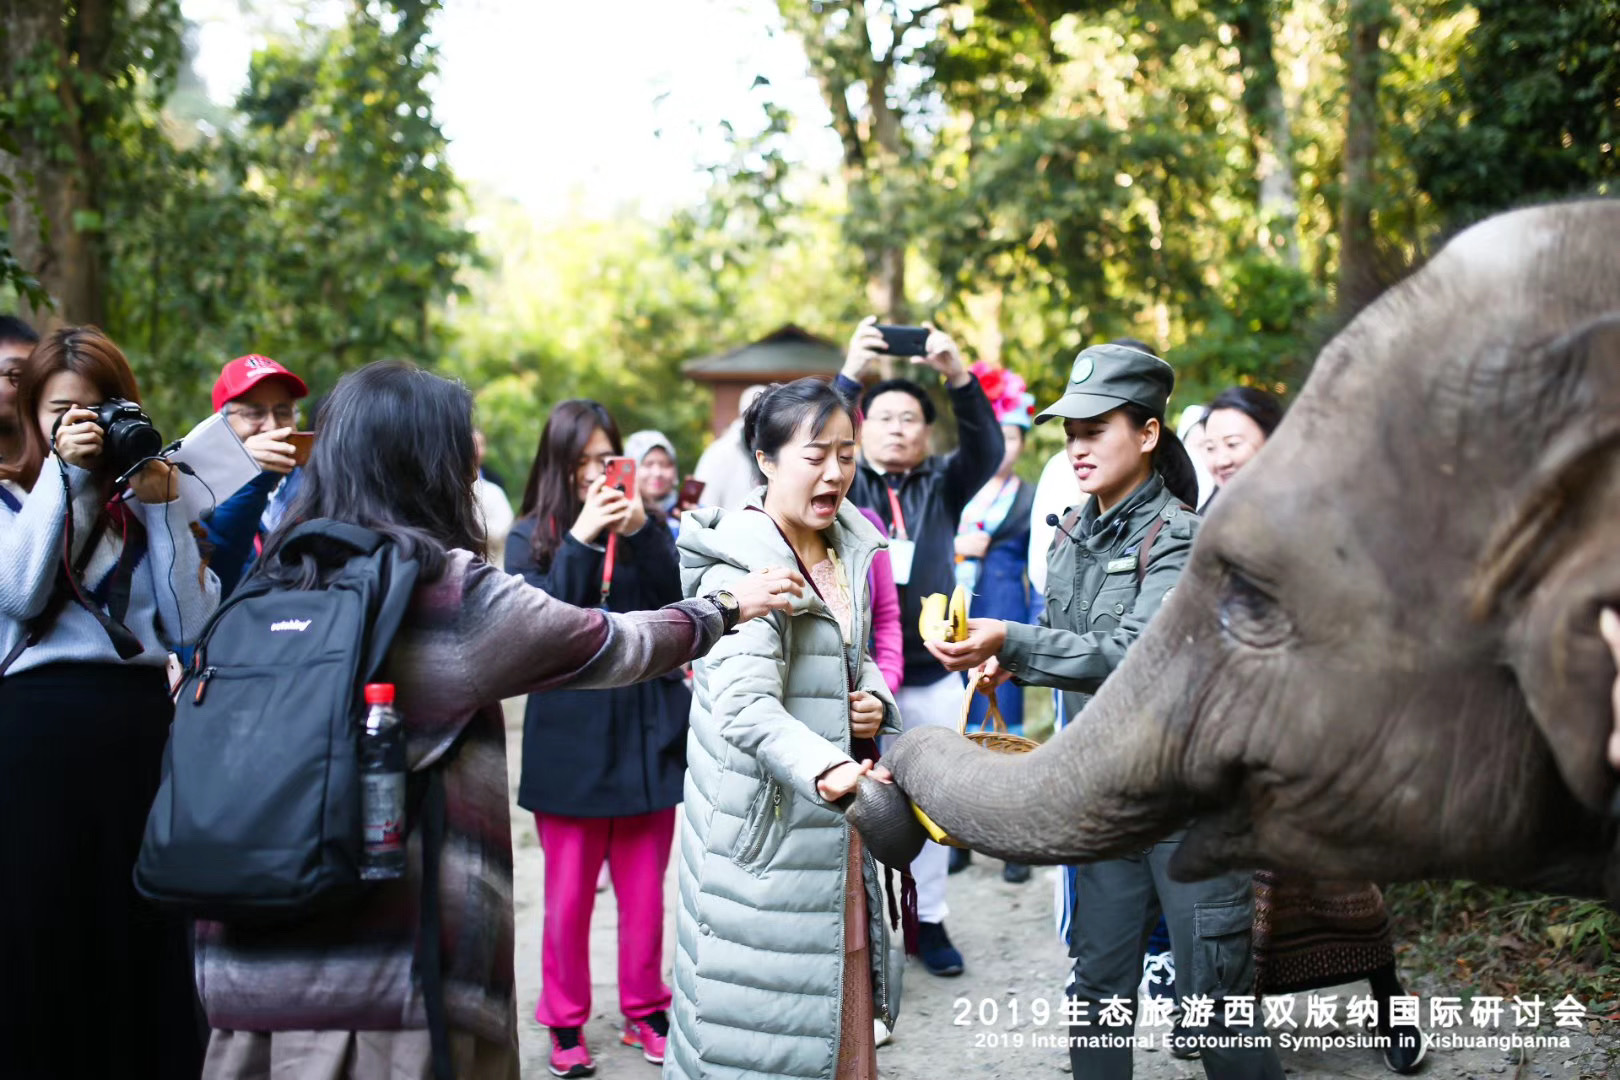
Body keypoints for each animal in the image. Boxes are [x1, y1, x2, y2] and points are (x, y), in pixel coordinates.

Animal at [868, 198, 1620, 900]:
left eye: (1253, 598)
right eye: (1073, 435)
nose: (883, 758)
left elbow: (1115, 643)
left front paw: (988, 646)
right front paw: (985, 663)